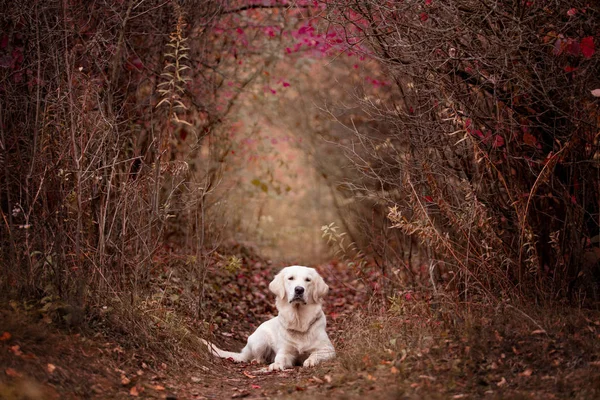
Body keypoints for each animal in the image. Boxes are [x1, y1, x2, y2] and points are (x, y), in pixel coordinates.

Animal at [200, 266, 332, 372]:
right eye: (290, 278)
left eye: (308, 280)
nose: (299, 289)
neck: (299, 321)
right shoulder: (285, 351)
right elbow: (280, 358)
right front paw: (276, 365)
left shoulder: (328, 350)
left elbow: (315, 354)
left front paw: (310, 361)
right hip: (260, 340)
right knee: (257, 357)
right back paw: (257, 361)